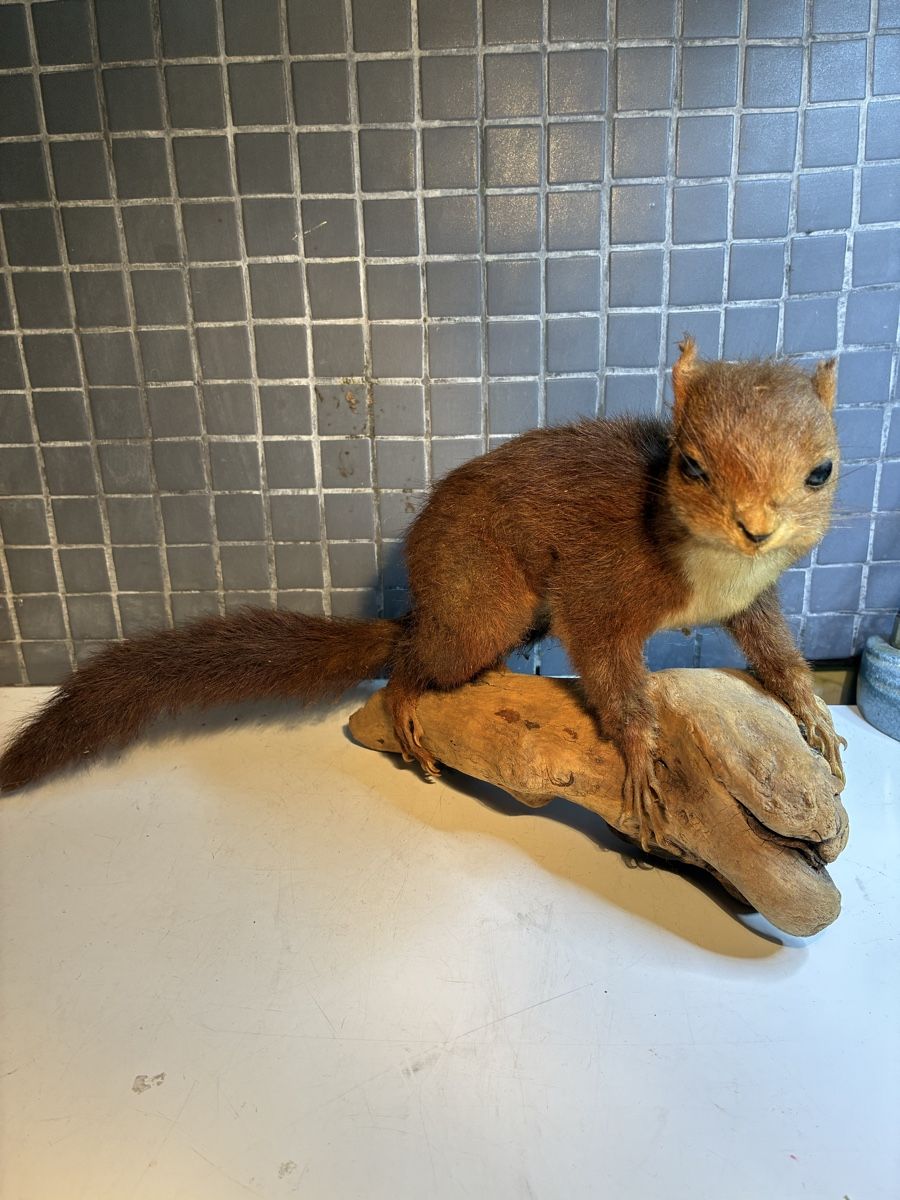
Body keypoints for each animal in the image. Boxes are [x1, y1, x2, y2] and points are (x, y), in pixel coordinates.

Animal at [0, 338, 844, 850]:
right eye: (691, 466)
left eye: (822, 469)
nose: (757, 528)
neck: (713, 574)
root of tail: (426, 597)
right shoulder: (601, 592)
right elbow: (610, 672)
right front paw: (640, 759)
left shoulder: (752, 600)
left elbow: (775, 649)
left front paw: (813, 716)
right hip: (484, 601)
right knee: (413, 660)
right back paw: (408, 700)